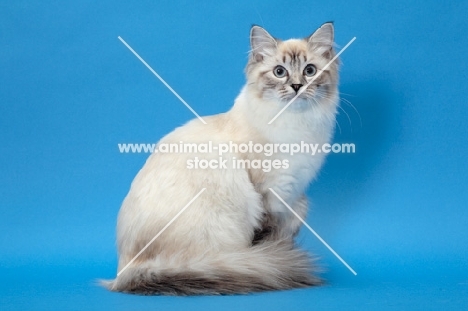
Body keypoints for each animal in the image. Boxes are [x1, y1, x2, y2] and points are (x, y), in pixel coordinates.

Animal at [104, 23, 340, 296]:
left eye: (309, 71)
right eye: (279, 72)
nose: (297, 86)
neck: (298, 126)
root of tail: (124, 270)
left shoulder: (295, 198)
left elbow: (284, 236)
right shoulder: (271, 195)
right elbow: (269, 239)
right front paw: (278, 259)